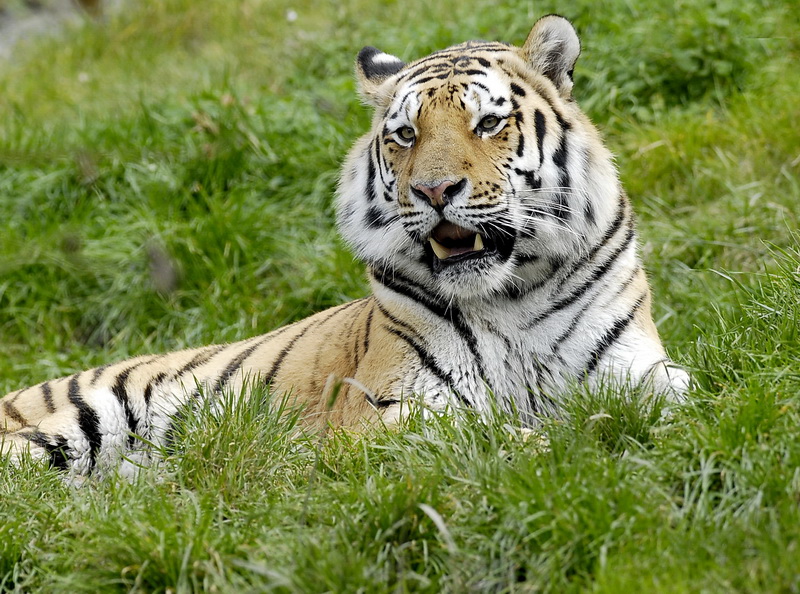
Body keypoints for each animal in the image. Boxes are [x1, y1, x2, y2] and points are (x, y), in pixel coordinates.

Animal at [0, 15, 688, 476]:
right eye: (406, 134)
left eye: (489, 123)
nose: (435, 190)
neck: (513, 292)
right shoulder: (379, 413)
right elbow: (479, 436)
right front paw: (568, 445)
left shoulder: (638, 369)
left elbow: (681, 400)